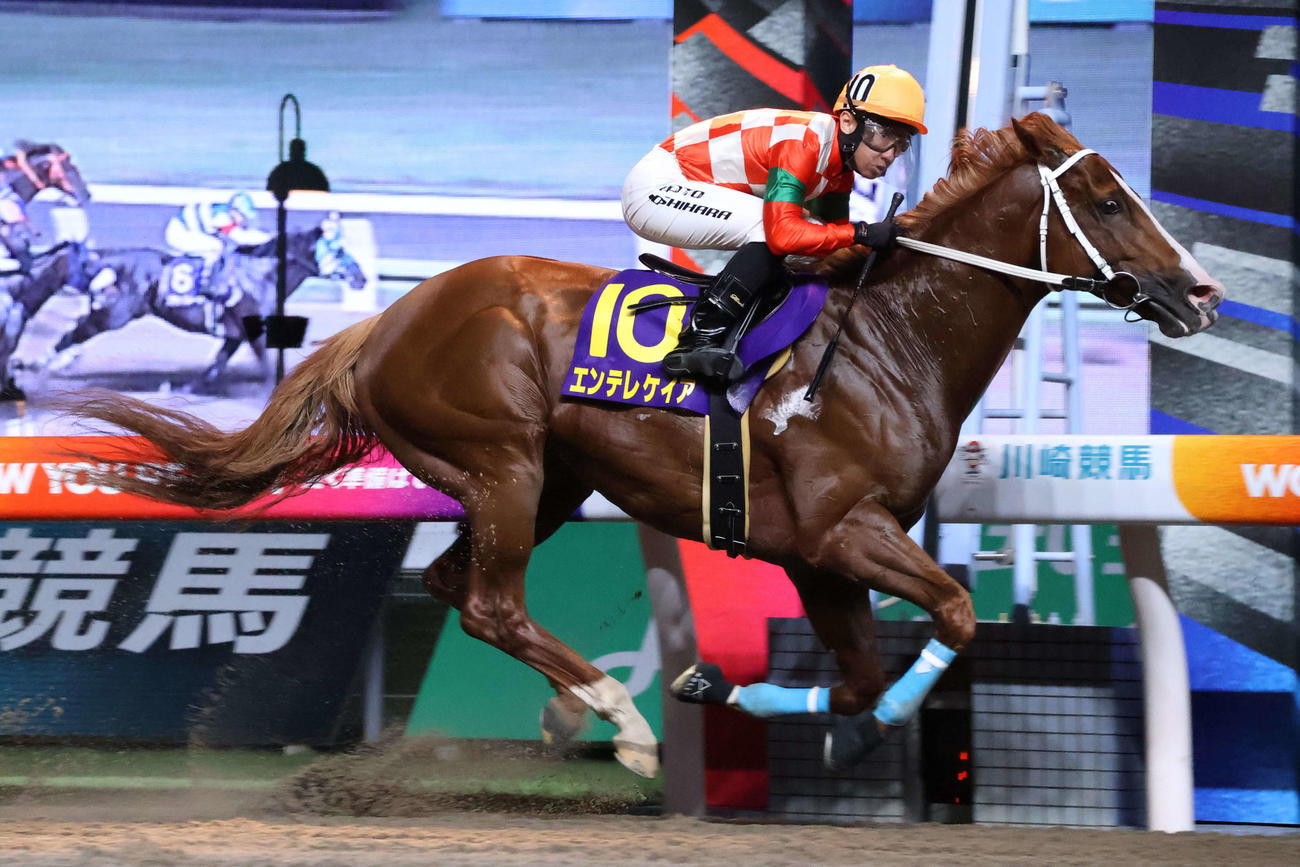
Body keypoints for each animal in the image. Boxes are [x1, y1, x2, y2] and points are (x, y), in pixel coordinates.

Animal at [46, 227, 366, 393]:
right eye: (339, 251)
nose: (362, 277)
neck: (263, 275)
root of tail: (108, 259)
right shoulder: (254, 332)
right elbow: (265, 366)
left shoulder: (235, 334)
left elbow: (216, 366)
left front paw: (180, 390)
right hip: (114, 315)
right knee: (73, 333)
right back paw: (49, 365)